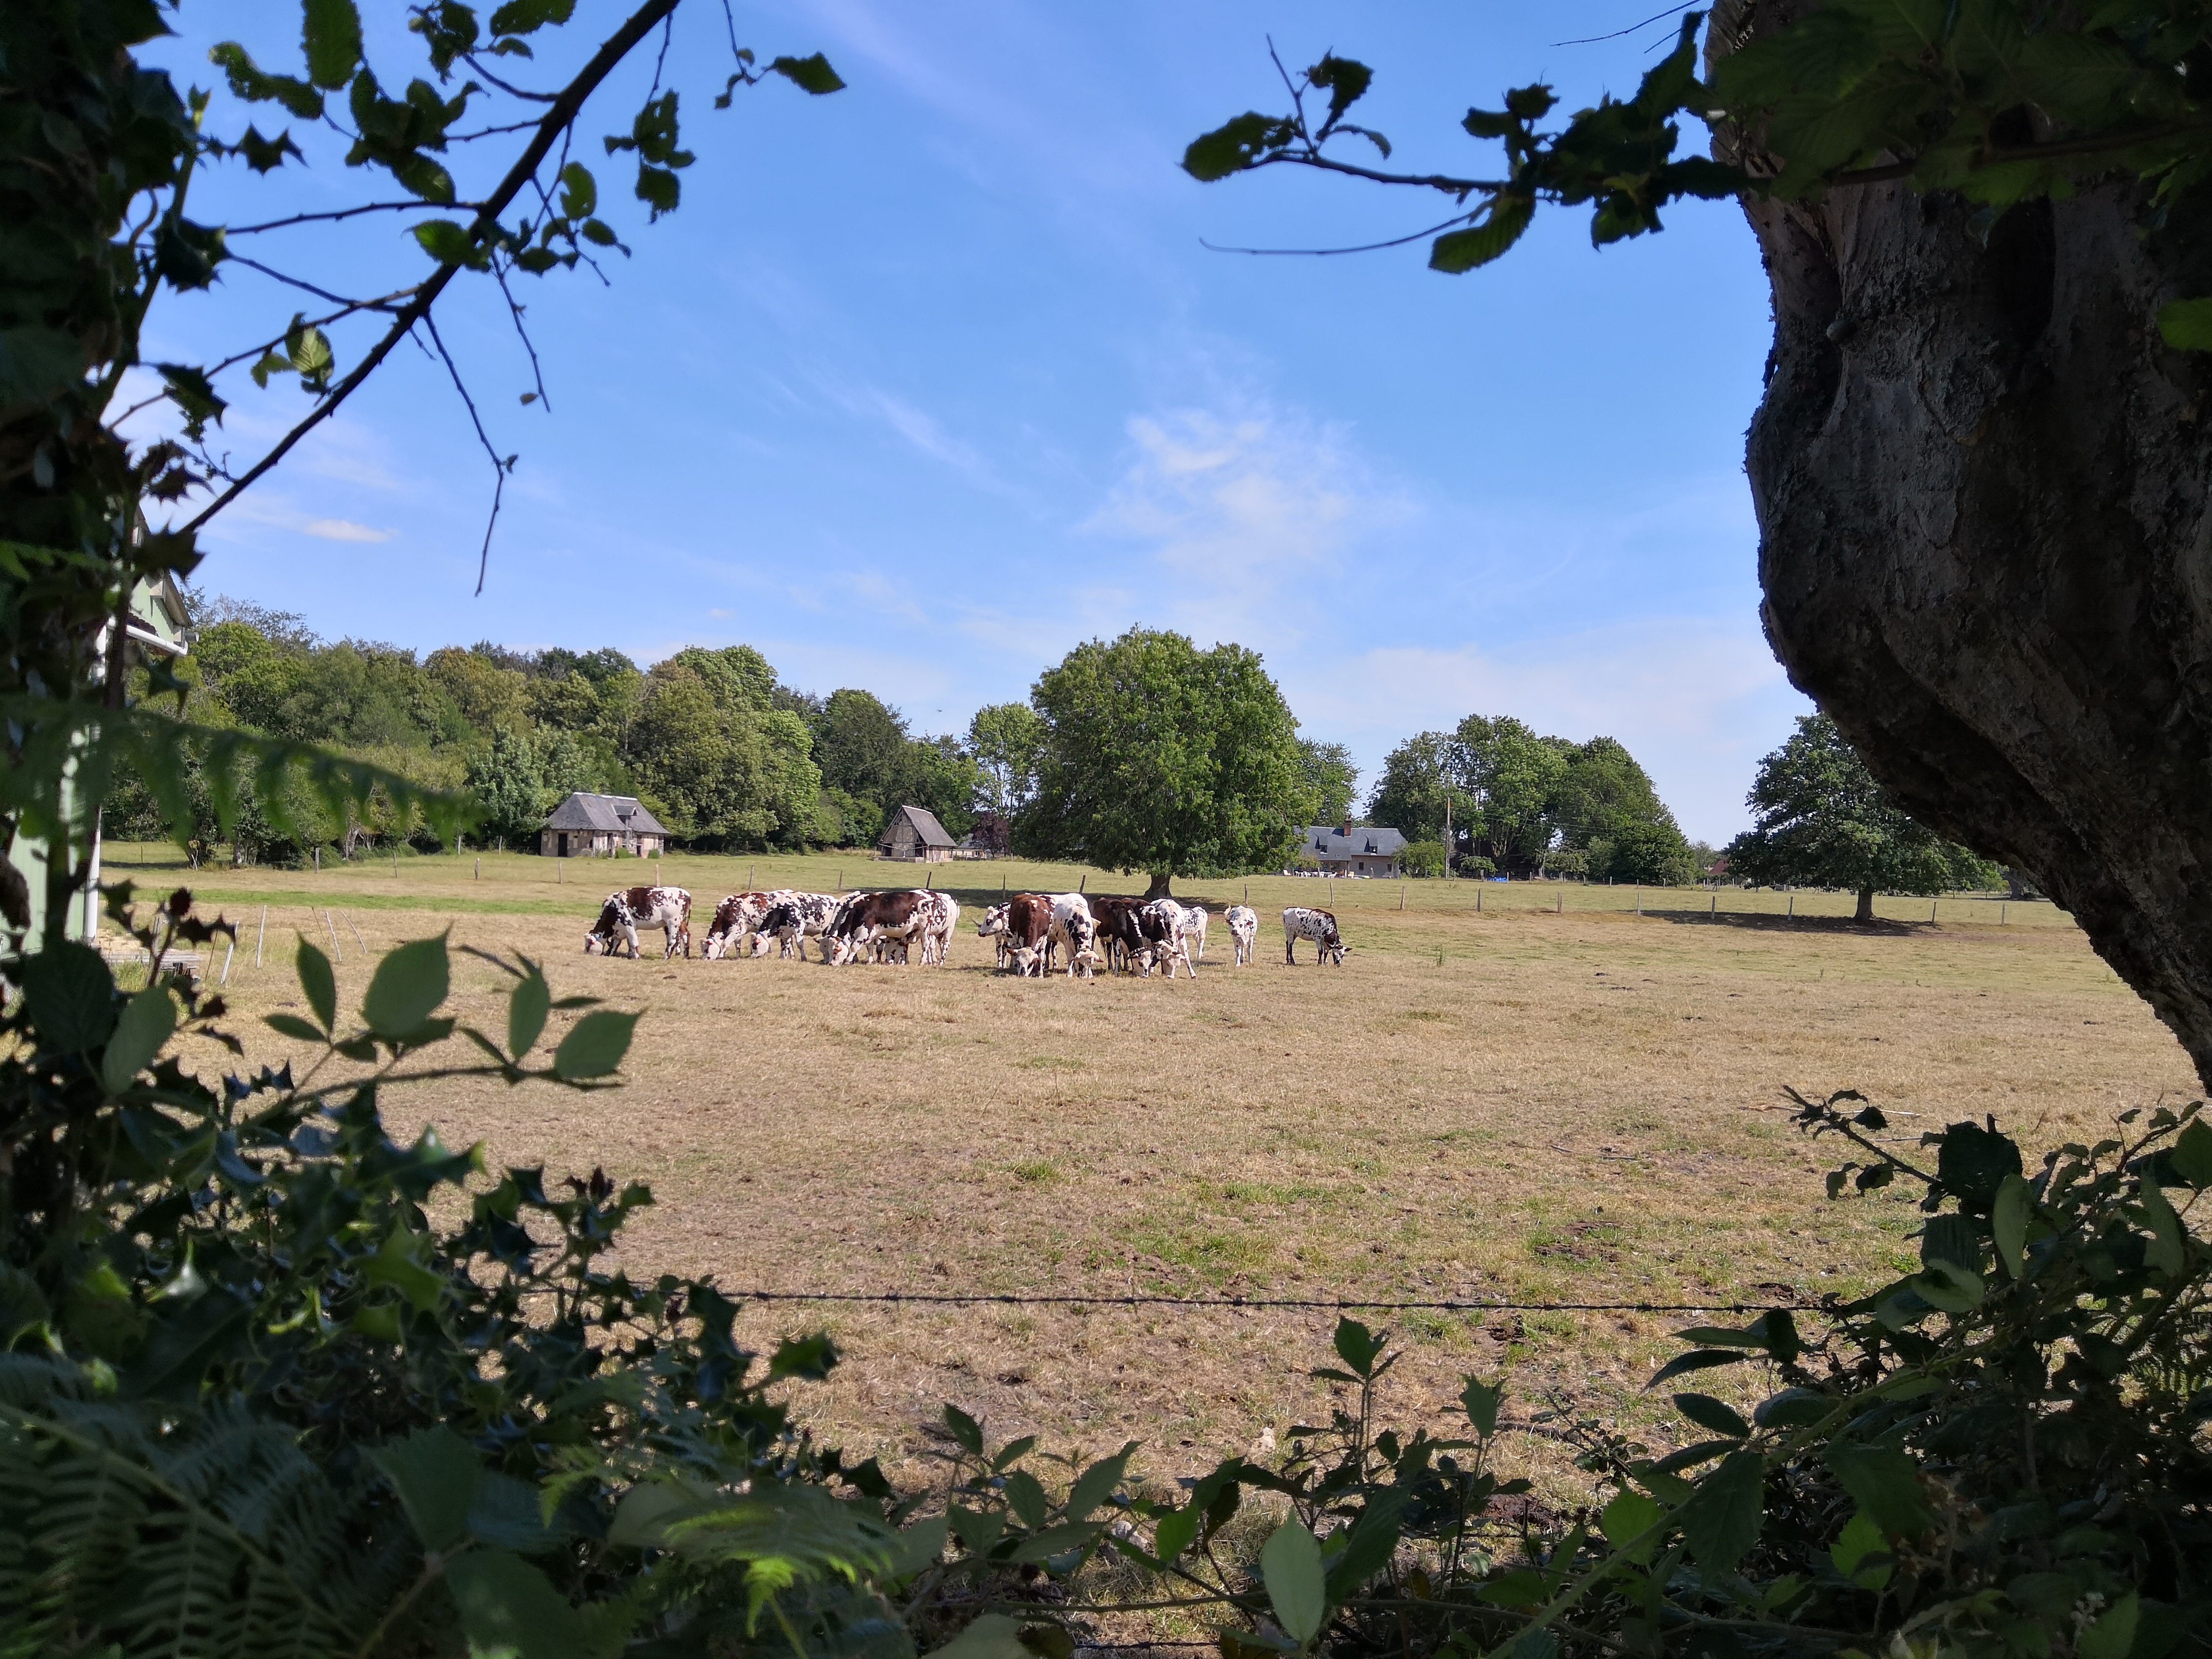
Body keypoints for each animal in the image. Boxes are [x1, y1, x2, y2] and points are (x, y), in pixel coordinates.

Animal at [584, 885, 693, 959]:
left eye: (589, 945)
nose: (585, 953)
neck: (613, 908)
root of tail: (685, 894)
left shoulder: (628, 925)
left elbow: (633, 941)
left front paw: (636, 957)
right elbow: (620, 942)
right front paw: (623, 954)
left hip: (673, 923)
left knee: (673, 940)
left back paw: (666, 957)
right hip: (680, 922)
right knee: (686, 935)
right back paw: (686, 955)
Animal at [1225, 904, 1259, 966]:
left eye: (1241, 925)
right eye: (1233, 925)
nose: (1234, 931)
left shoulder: (1251, 937)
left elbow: (1249, 950)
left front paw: (1250, 962)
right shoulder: (1236, 938)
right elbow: (1238, 952)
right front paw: (1238, 964)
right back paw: (1241, 959)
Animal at [1283, 905, 1349, 966]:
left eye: (1343, 955)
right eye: (1334, 954)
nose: (1338, 964)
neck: (1327, 925)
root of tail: (1287, 910)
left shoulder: (1325, 942)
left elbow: (1326, 952)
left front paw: (1326, 963)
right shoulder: (1318, 939)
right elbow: (1321, 951)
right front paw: (1319, 963)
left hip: (1295, 934)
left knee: (1287, 944)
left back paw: (1288, 961)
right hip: (1290, 933)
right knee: (1290, 947)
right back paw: (1293, 961)